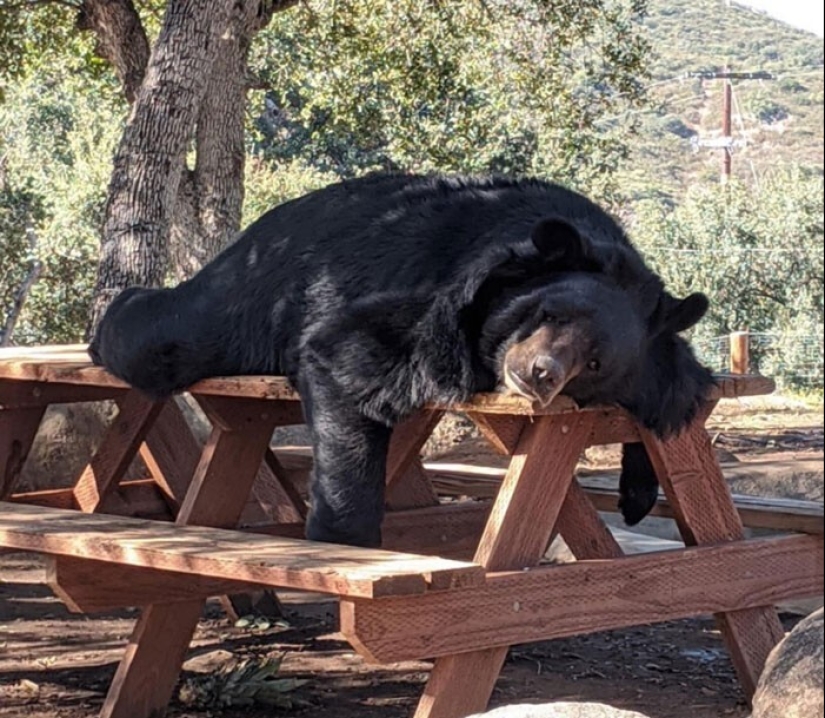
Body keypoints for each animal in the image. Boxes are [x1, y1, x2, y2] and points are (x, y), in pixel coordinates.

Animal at [90, 172, 714, 548]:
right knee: (163, 335)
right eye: (549, 312)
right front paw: (343, 539)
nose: (539, 373)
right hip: (251, 293)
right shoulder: (434, 301)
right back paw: (109, 318)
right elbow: (350, 360)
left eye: (595, 363)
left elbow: (675, 393)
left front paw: (638, 493)